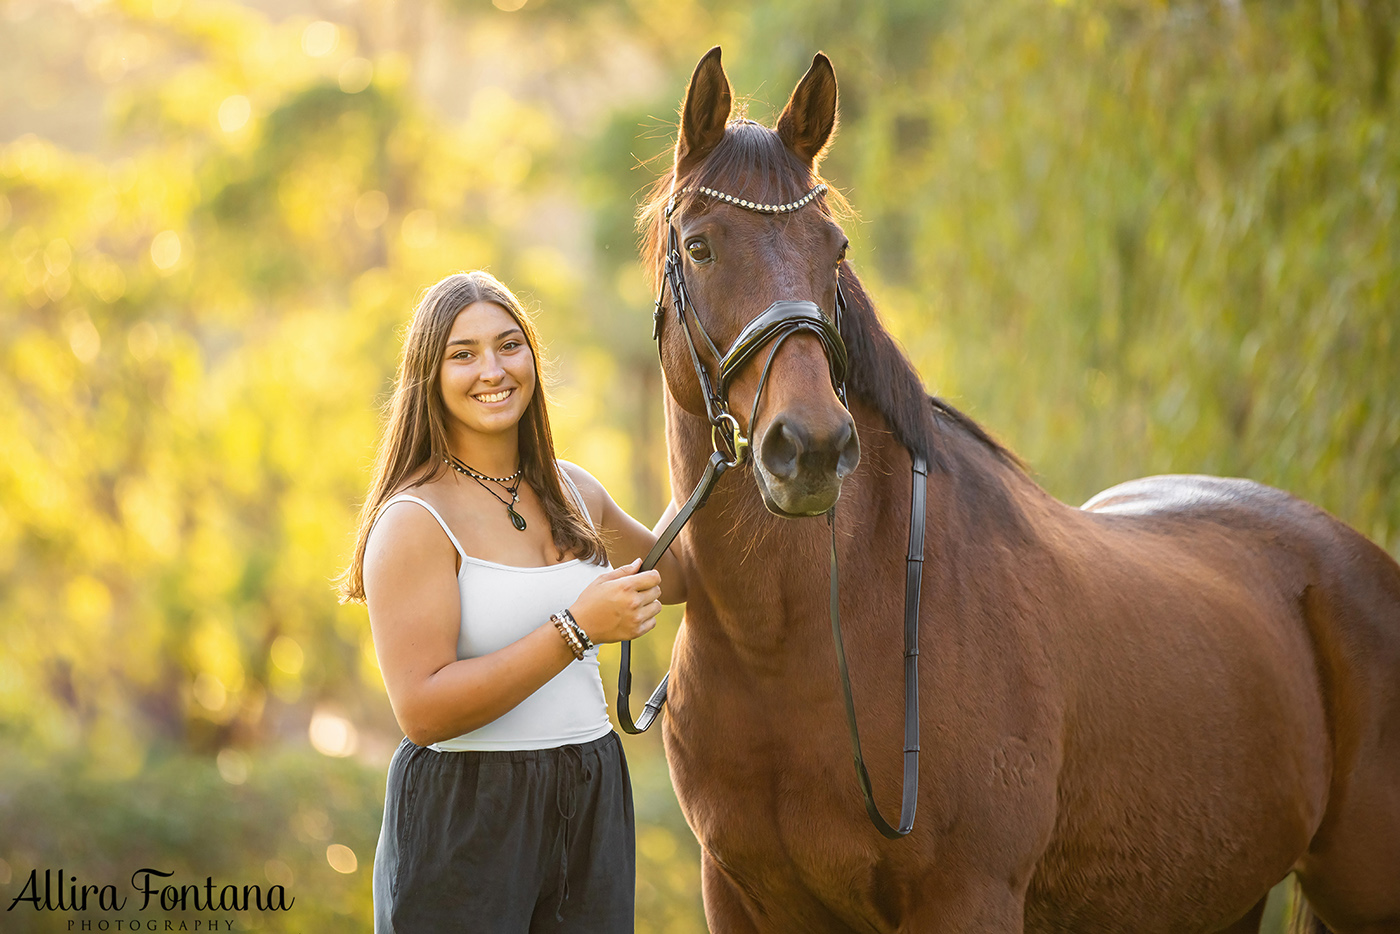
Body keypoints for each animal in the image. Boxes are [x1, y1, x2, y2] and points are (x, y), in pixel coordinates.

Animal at [644, 49, 1400, 934]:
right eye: (700, 247)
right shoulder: (741, 898)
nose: (814, 448)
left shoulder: (969, 897)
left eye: (834, 248)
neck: (794, 645)